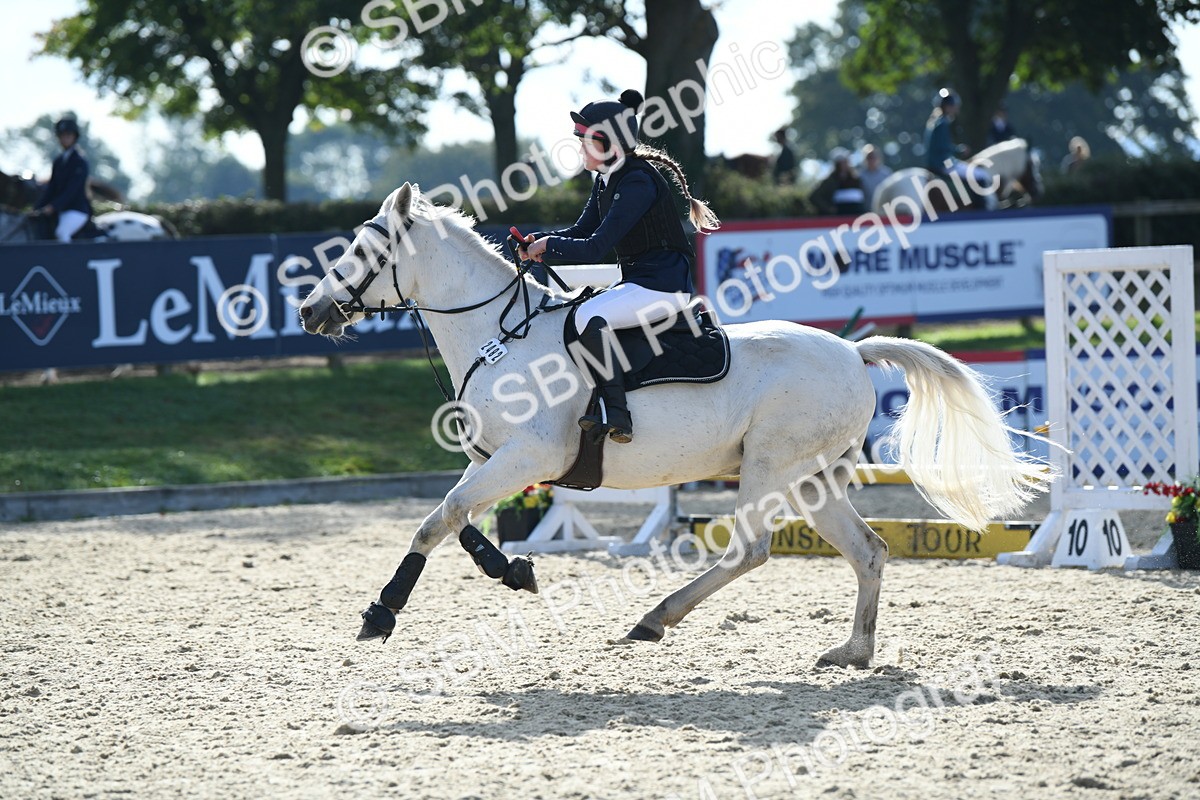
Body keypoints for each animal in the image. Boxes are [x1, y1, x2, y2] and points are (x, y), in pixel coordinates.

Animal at [298, 183, 1050, 668]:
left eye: (363, 251)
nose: (309, 311)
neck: (499, 336)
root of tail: (852, 350)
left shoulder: (529, 456)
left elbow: (439, 520)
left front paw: (381, 613)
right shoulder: (494, 458)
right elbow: (455, 521)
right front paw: (514, 571)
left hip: (770, 467)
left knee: (749, 550)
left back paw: (653, 620)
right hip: (811, 479)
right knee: (867, 551)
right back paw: (851, 651)